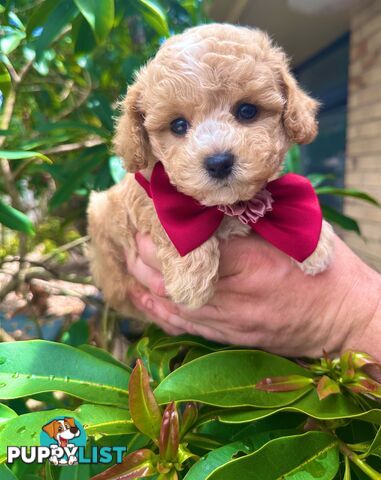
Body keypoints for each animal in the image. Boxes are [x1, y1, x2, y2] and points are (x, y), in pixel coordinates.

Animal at [87, 25, 332, 316]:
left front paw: (318, 243)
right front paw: (190, 279)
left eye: (247, 110)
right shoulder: (123, 203)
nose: (219, 162)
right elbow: (157, 212)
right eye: (178, 125)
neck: (226, 207)